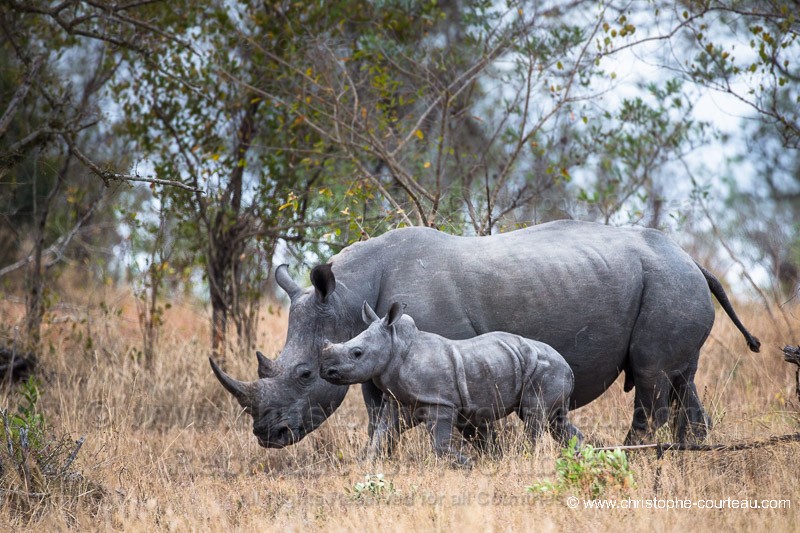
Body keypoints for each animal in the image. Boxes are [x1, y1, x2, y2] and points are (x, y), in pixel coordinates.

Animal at [322, 302, 584, 464]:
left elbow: (438, 443)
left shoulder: (440, 402)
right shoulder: (398, 400)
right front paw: (370, 465)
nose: (326, 370)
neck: (396, 345)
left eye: (357, 353)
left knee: (533, 415)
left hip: (546, 368)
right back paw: (578, 453)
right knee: (556, 419)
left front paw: (466, 463)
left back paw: (526, 458)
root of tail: (568, 365)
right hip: (543, 367)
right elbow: (382, 435)